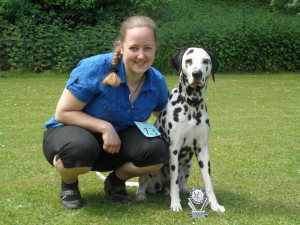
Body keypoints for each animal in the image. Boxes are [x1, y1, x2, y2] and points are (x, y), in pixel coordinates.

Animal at [135, 47, 225, 213]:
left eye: (206, 61)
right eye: (188, 60)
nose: (197, 74)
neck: (192, 104)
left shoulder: (203, 150)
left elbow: (208, 183)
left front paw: (214, 205)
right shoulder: (174, 149)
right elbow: (174, 182)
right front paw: (175, 204)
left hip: (188, 164)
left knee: (181, 185)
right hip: (150, 171)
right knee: (143, 184)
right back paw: (141, 194)